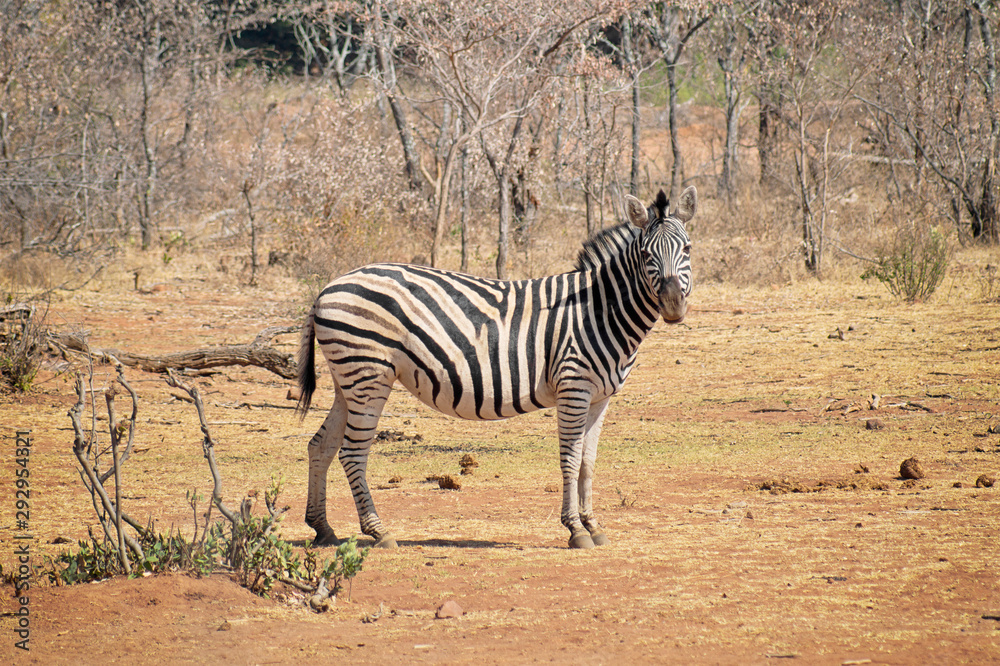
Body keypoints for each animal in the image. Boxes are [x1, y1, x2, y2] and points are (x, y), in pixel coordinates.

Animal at [296, 186, 696, 549]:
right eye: (645, 254)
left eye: (688, 249)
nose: (674, 305)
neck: (597, 310)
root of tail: (327, 289)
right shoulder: (573, 388)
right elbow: (570, 459)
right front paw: (575, 530)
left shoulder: (600, 397)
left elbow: (588, 462)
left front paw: (593, 525)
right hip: (369, 375)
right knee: (352, 453)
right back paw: (378, 531)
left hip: (348, 379)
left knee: (321, 445)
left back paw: (323, 529)